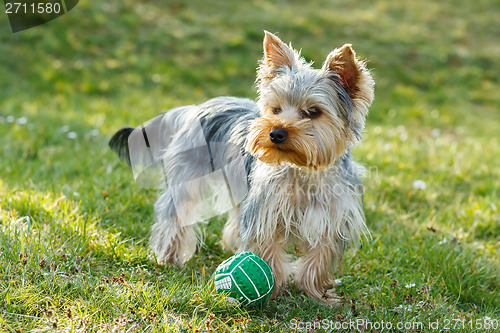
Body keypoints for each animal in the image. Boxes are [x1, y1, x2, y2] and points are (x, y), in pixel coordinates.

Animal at [110, 31, 376, 304]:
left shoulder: (330, 216)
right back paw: (169, 257)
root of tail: (194, 109)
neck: (302, 169)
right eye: (276, 109)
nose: (276, 133)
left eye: (313, 112)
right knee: (175, 213)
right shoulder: (266, 212)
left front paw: (316, 294)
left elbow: (319, 257)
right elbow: (267, 249)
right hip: (187, 178)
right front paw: (272, 292)